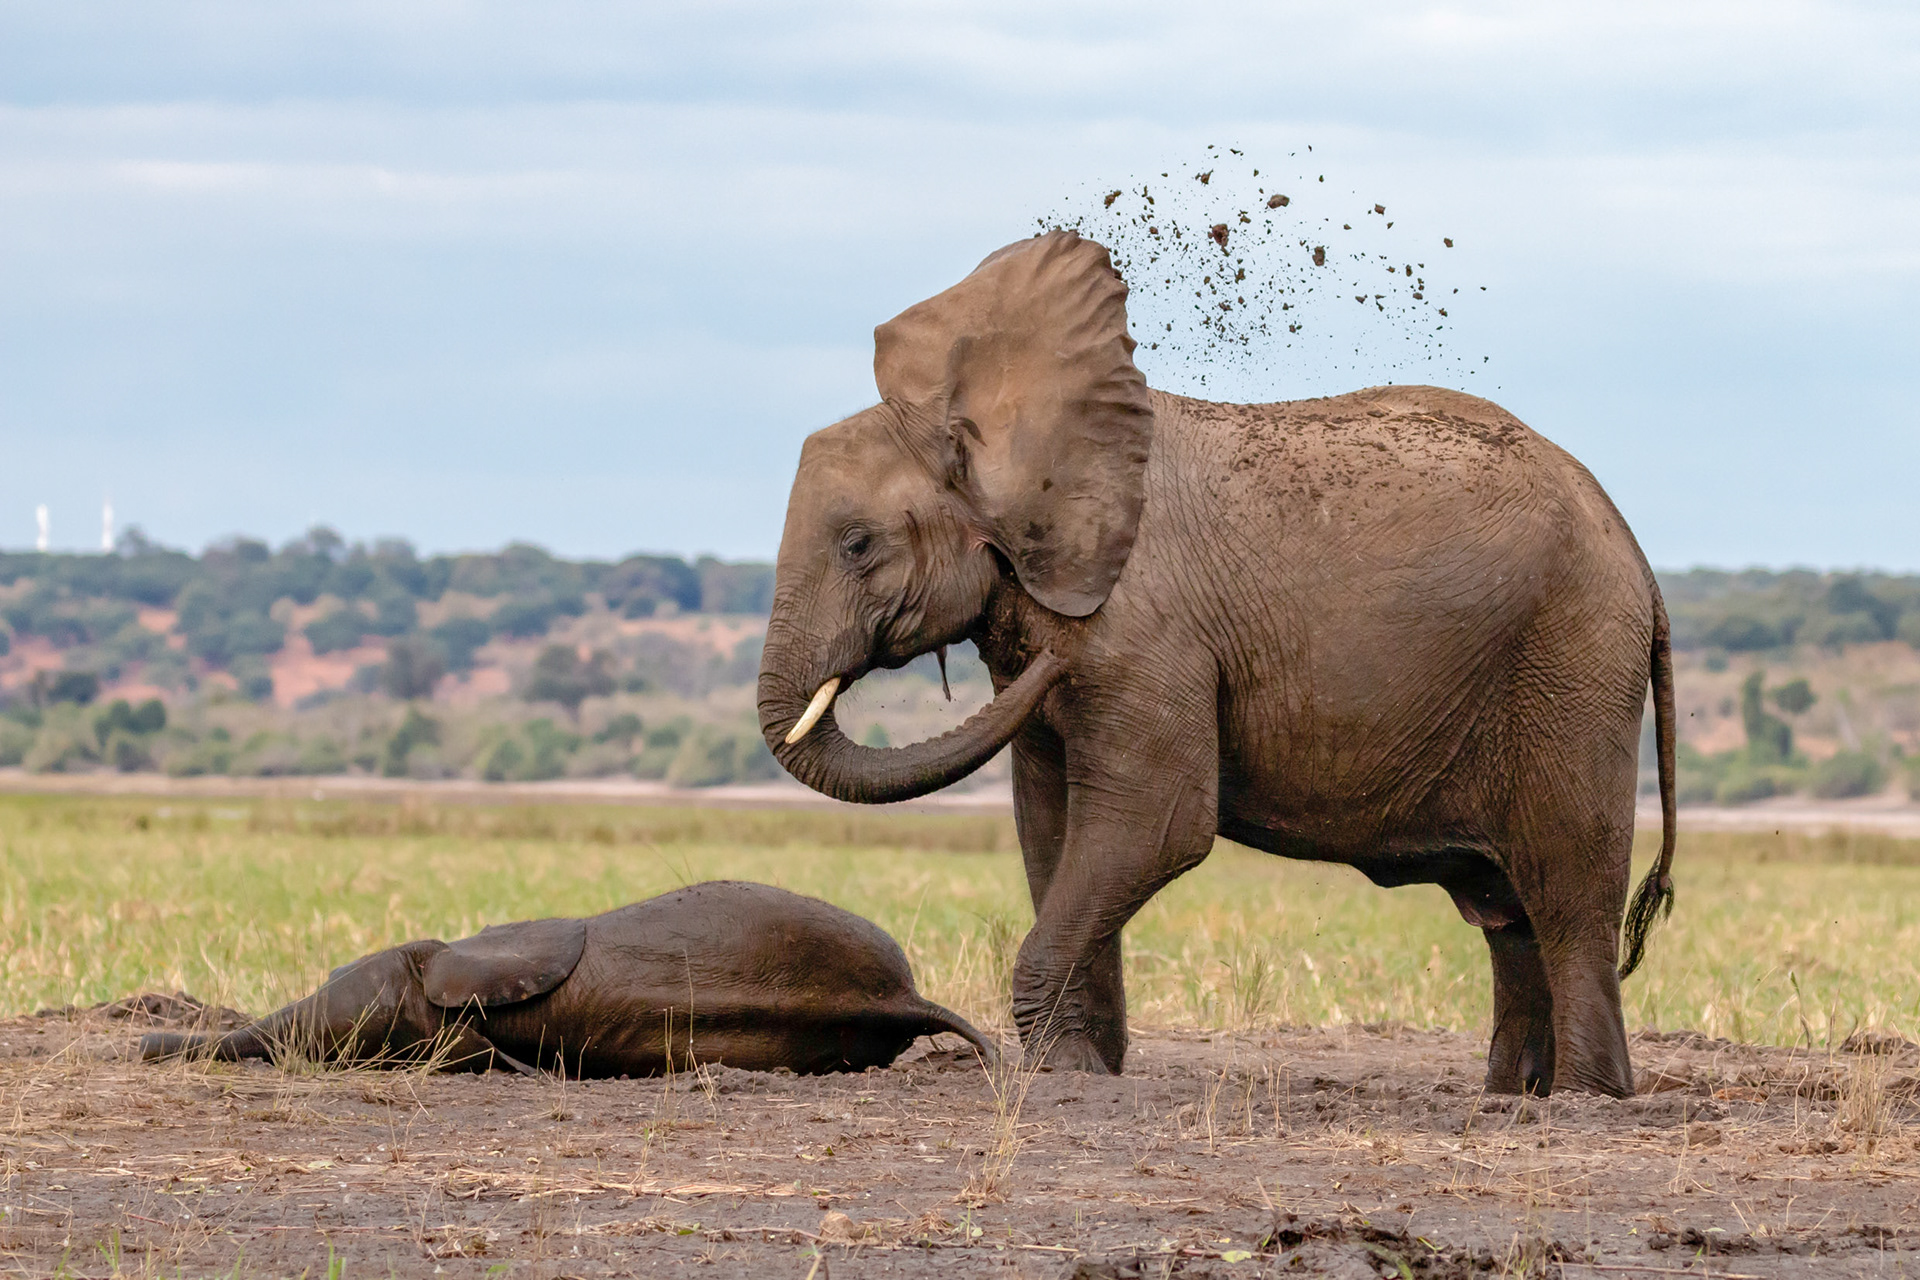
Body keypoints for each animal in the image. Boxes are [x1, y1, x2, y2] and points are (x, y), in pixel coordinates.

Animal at [757, 230, 1677, 1097]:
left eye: (856, 544)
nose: (1047, 668)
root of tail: (1636, 552)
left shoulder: (1145, 628)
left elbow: (1157, 821)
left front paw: (1058, 1073)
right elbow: (1048, 826)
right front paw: (1084, 1068)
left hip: (1573, 659)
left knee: (1565, 896)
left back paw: (1586, 1098)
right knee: (1508, 918)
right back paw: (1512, 1096)